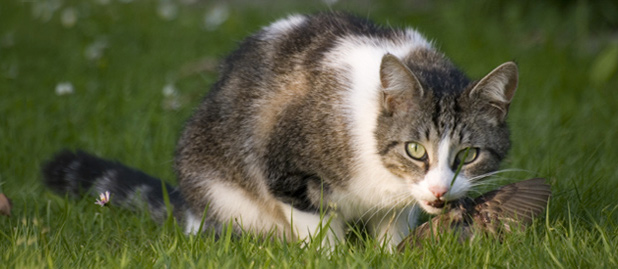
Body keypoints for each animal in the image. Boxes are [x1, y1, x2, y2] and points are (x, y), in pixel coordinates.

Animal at [41, 12, 516, 247]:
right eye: (416, 150)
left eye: (468, 155)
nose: (438, 191)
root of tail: (191, 207)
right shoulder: (286, 170)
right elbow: (316, 225)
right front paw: (332, 256)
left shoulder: (399, 204)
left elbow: (392, 228)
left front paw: (389, 254)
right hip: (221, 191)